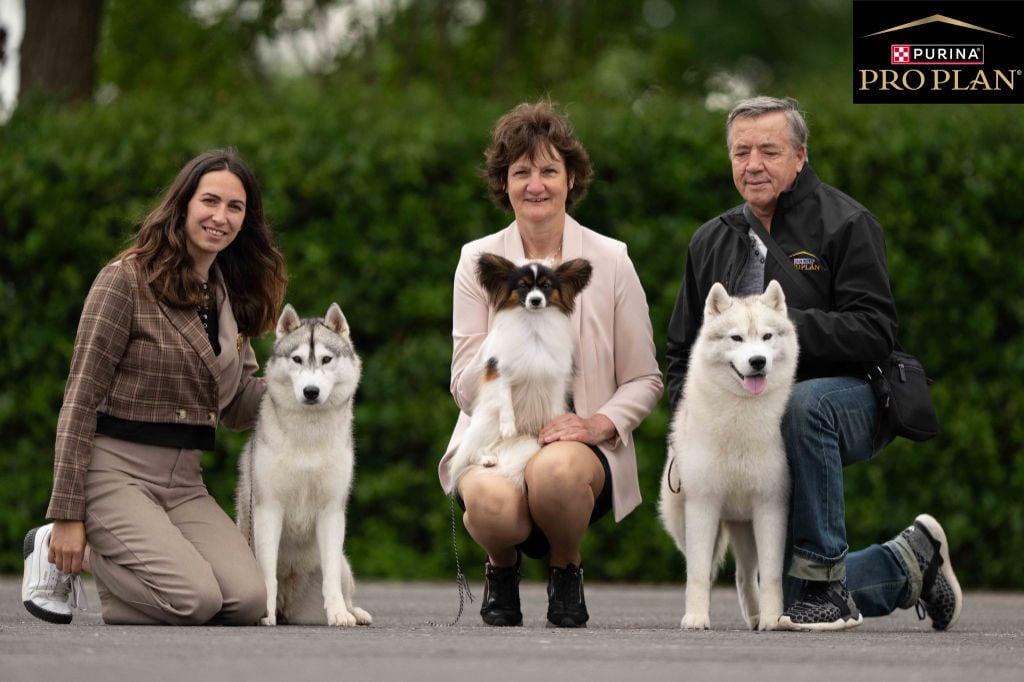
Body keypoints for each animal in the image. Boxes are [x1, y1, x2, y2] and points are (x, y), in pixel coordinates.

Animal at [448, 250, 593, 489]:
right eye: (523, 286)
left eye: (546, 286)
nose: (535, 300)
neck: (533, 323)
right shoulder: (501, 370)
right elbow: (505, 398)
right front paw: (509, 426)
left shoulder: (556, 377)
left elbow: (554, 408)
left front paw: (555, 427)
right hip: (489, 425)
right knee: (473, 452)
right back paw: (487, 459)